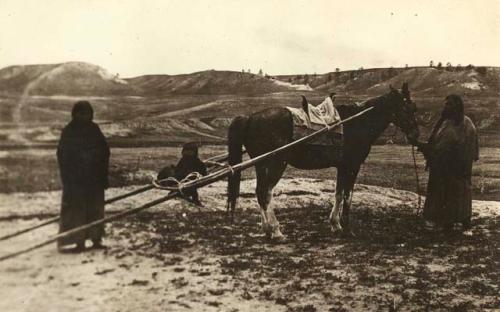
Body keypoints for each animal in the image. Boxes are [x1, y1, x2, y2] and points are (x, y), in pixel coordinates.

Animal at [227, 82, 418, 239]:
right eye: (407, 108)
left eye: (415, 108)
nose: (415, 136)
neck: (358, 122)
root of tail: (250, 118)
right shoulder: (352, 165)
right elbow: (348, 195)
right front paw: (346, 227)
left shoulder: (342, 167)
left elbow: (338, 193)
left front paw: (335, 224)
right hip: (276, 164)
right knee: (265, 193)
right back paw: (275, 230)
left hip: (261, 164)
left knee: (260, 192)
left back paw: (266, 229)